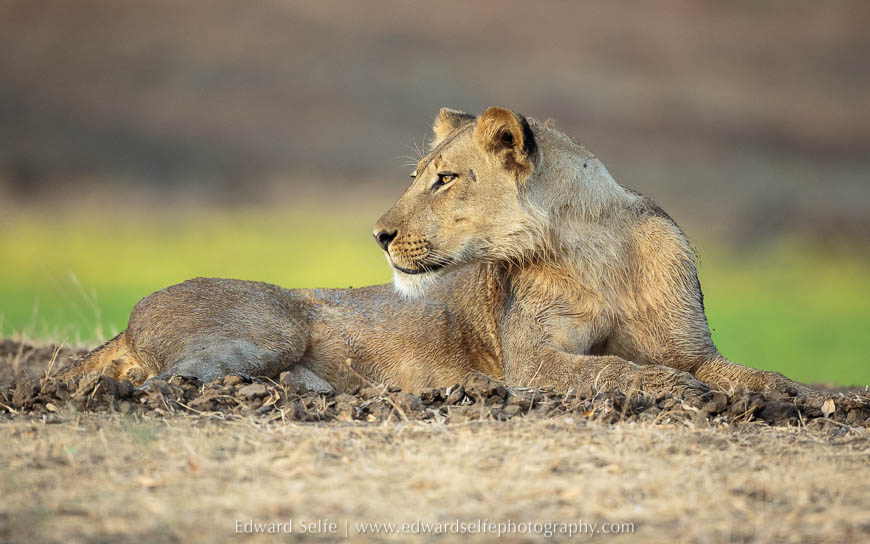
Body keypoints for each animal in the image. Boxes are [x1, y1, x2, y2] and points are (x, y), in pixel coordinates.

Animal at [59, 105, 821, 402]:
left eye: (445, 177)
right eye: (421, 173)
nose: (378, 234)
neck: (592, 252)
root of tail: (128, 319)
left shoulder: (692, 345)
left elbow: (739, 371)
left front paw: (797, 390)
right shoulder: (532, 364)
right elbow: (607, 369)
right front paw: (670, 389)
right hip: (275, 323)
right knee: (176, 378)